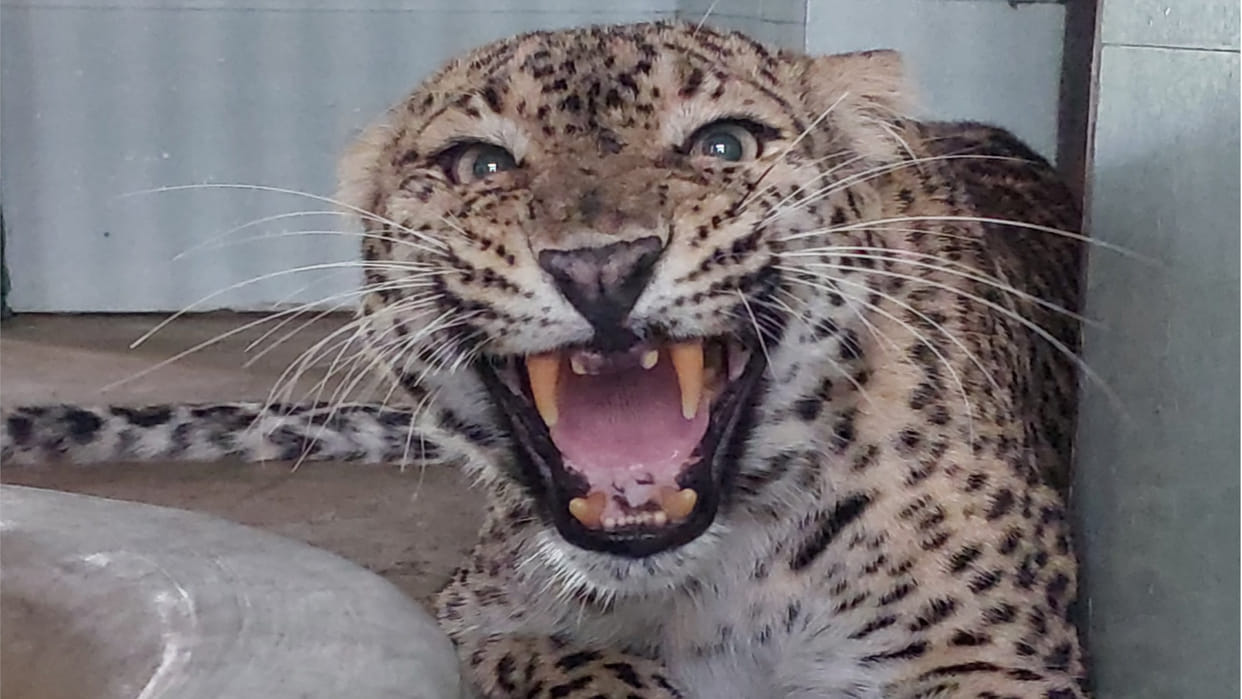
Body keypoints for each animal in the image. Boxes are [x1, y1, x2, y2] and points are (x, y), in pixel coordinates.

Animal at [2, 21, 1090, 699]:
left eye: (724, 146)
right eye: (482, 164)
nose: (600, 267)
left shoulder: (1001, 658)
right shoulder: (470, 618)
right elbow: (566, 659)